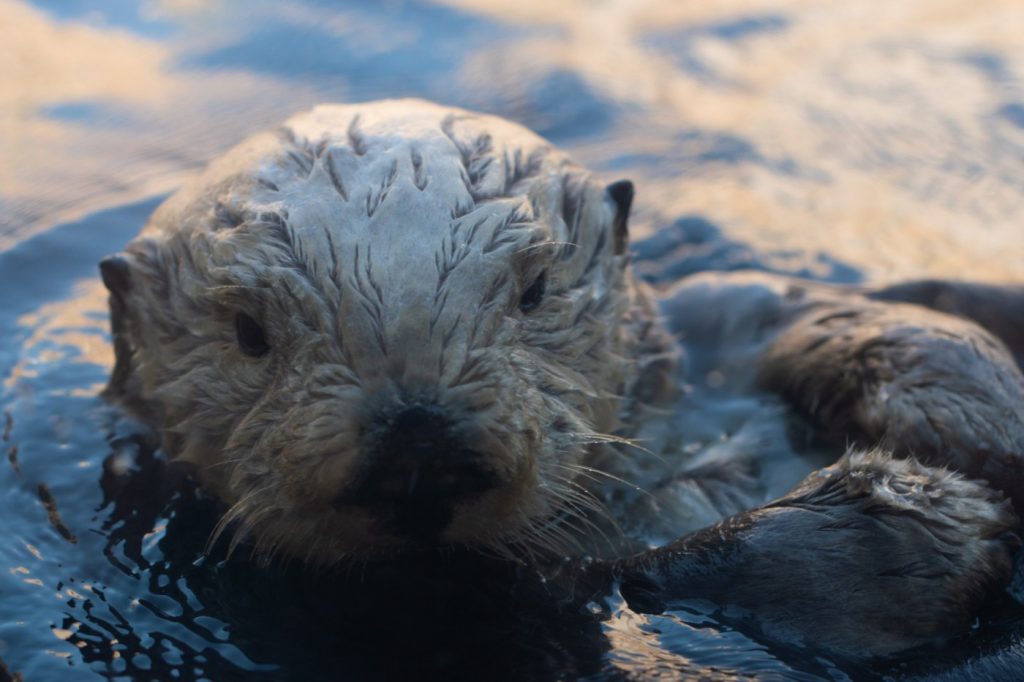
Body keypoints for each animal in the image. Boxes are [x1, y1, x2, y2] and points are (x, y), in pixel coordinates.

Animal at [99, 98, 1024, 655]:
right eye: (248, 333)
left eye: (536, 288)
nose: (419, 450)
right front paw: (907, 515)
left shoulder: (717, 323)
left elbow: (828, 318)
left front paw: (970, 418)